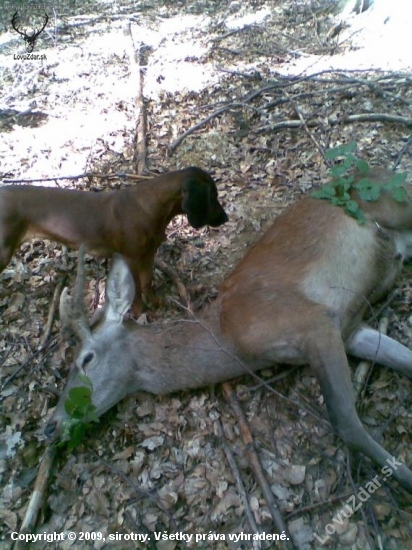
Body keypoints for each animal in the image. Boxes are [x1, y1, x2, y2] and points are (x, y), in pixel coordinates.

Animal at [0, 167, 229, 314]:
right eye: (213, 195)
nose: (226, 218)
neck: (149, 207)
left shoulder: (148, 254)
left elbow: (147, 282)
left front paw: (155, 303)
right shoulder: (130, 259)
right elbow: (136, 291)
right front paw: (139, 314)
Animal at [45, 167, 412, 492]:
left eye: (86, 359)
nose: (50, 426)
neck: (231, 336)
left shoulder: (311, 320)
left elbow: (345, 421)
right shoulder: (347, 328)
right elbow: (404, 360)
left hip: (397, 202)